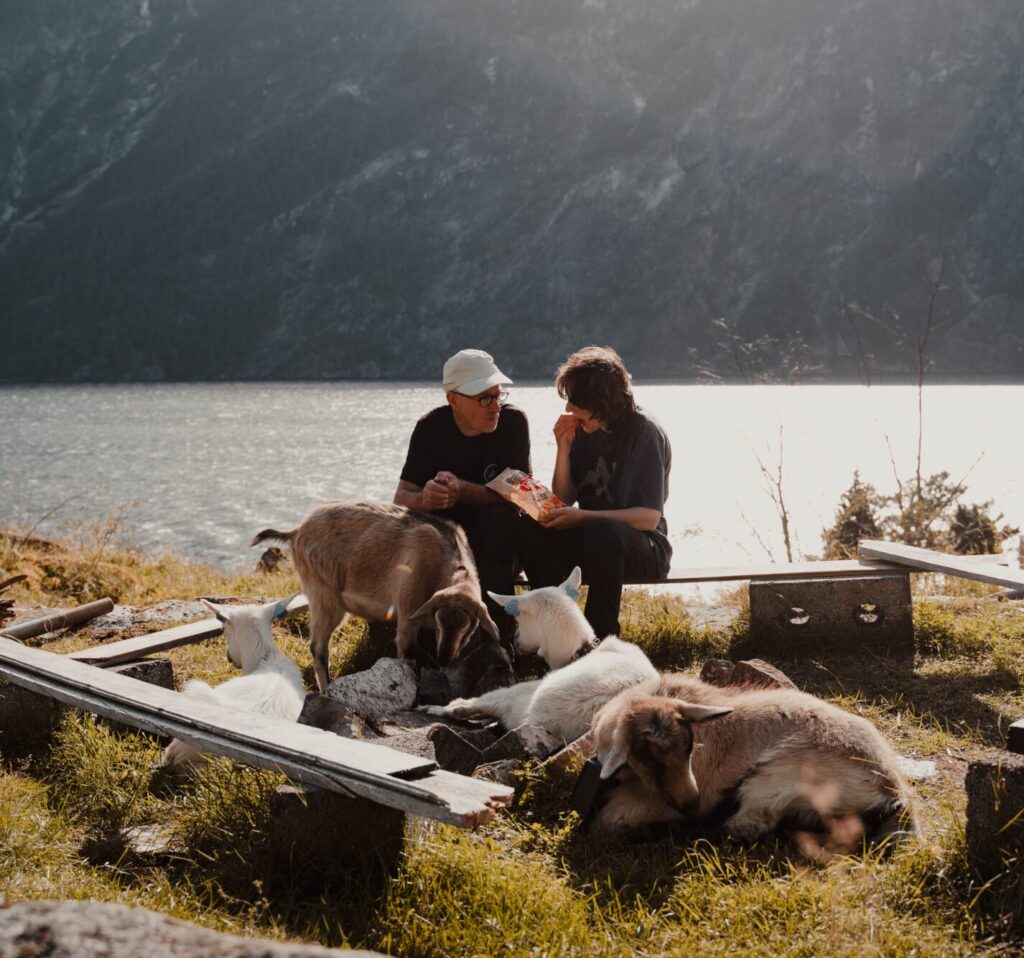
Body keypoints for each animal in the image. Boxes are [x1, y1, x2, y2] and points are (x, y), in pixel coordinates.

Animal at [253, 501, 497, 687]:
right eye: (440, 621)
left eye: (466, 626)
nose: (444, 659)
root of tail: (296, 531)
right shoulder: (408, 616)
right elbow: (407, 656)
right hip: (324, 595)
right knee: (318, 647)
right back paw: (327, 689)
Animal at [421, 569, 655, 741]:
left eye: (520, 618)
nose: (516, 639)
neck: (577, 651)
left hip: (519, 695)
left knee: (465, 706)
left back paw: (431, 708)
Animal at [593, 671, 921, 847]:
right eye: (650, 760)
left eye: (689, 749)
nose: (691, 804)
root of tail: (893, 791)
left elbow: (610, 820)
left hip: (773, 779)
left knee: (747, 824)